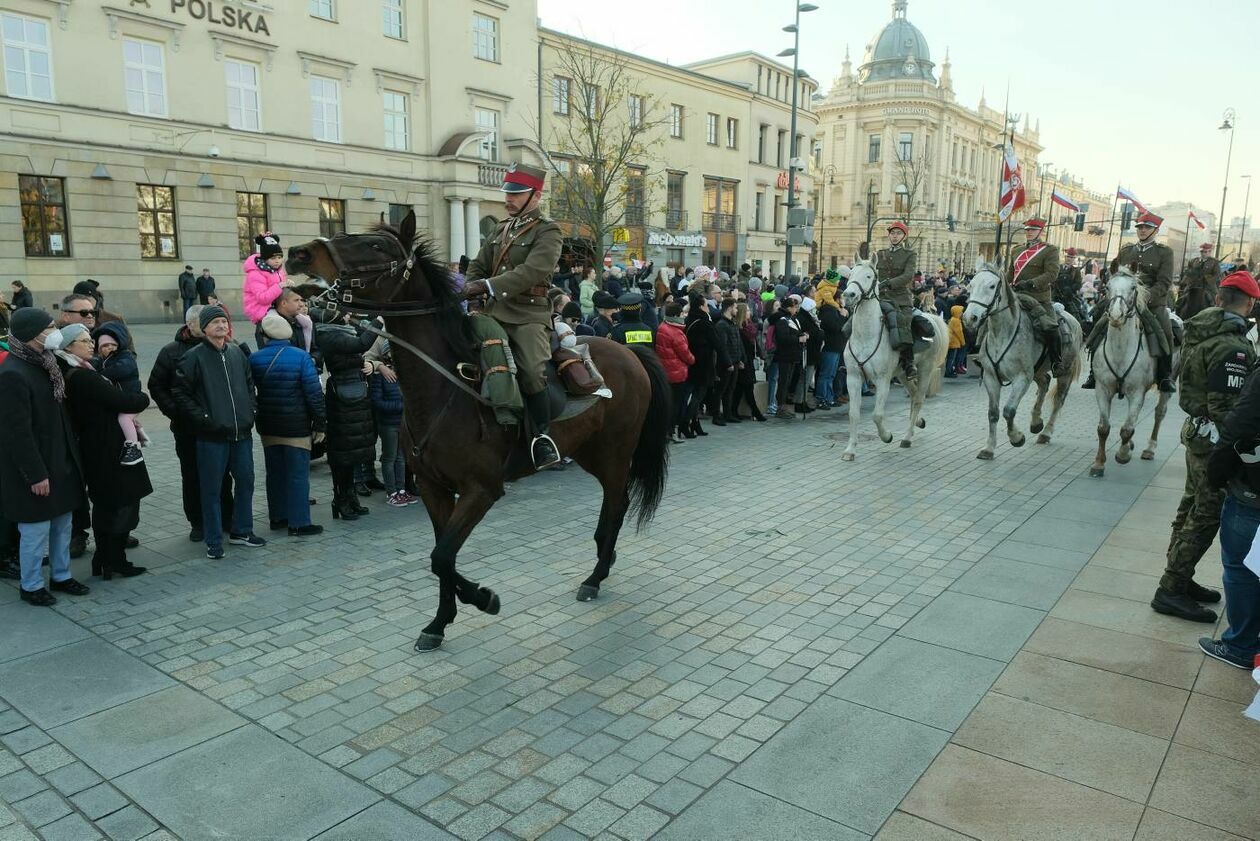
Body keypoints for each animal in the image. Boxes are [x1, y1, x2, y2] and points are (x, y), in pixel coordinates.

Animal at [287, 210, 675, 650]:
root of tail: (630, 352)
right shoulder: (434, 489)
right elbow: (442, 557)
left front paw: (484, 598)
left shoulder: (482, 490)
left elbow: (441, 557)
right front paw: (439, 623)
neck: (444, 388)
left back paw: (595, 577)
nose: (300, 253)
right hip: (590, 452)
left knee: (616, 504)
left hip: (615, 452)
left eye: (376, 246)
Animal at [836, 261, 947, 461]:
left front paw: (886, 436)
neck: (866, 335)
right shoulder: (853, 378)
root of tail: (932, 318)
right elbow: (853, 414)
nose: (849, 295)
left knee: (918, 399)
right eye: (851, 274)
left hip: (925, 370)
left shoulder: (883, 380)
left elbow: (877, 415)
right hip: (903, 374)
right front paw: (850, 450)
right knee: (913, 395)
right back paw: (917, 423)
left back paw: (907, 437)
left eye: (869, 276)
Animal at [962, 263, 1083, 461]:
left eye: (991, 286)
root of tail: (1073, 319)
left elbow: (1008, 411)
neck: (1003, 333)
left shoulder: (1021, 378)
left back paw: (1045, 433)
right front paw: (989, 448)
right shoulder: (990, 377)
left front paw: (1016, 438)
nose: (970, 318)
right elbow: (993, 413)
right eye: (970, 285)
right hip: (1038, 370)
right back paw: (1036, 422)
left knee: (1058, 400)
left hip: (1064, 371)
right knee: (1044, 383)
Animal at [1088, 266, 1174, 476]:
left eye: (1134, 287)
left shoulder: (1137, 393)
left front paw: (1123, 455)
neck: (1120, 351)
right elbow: (1104, 428)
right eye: (1107, 286)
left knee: (1159, 412)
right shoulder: (1103, 389)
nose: (1116, 315)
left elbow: (1127, 429)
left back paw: (1149, 449)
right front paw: (1099, 463)